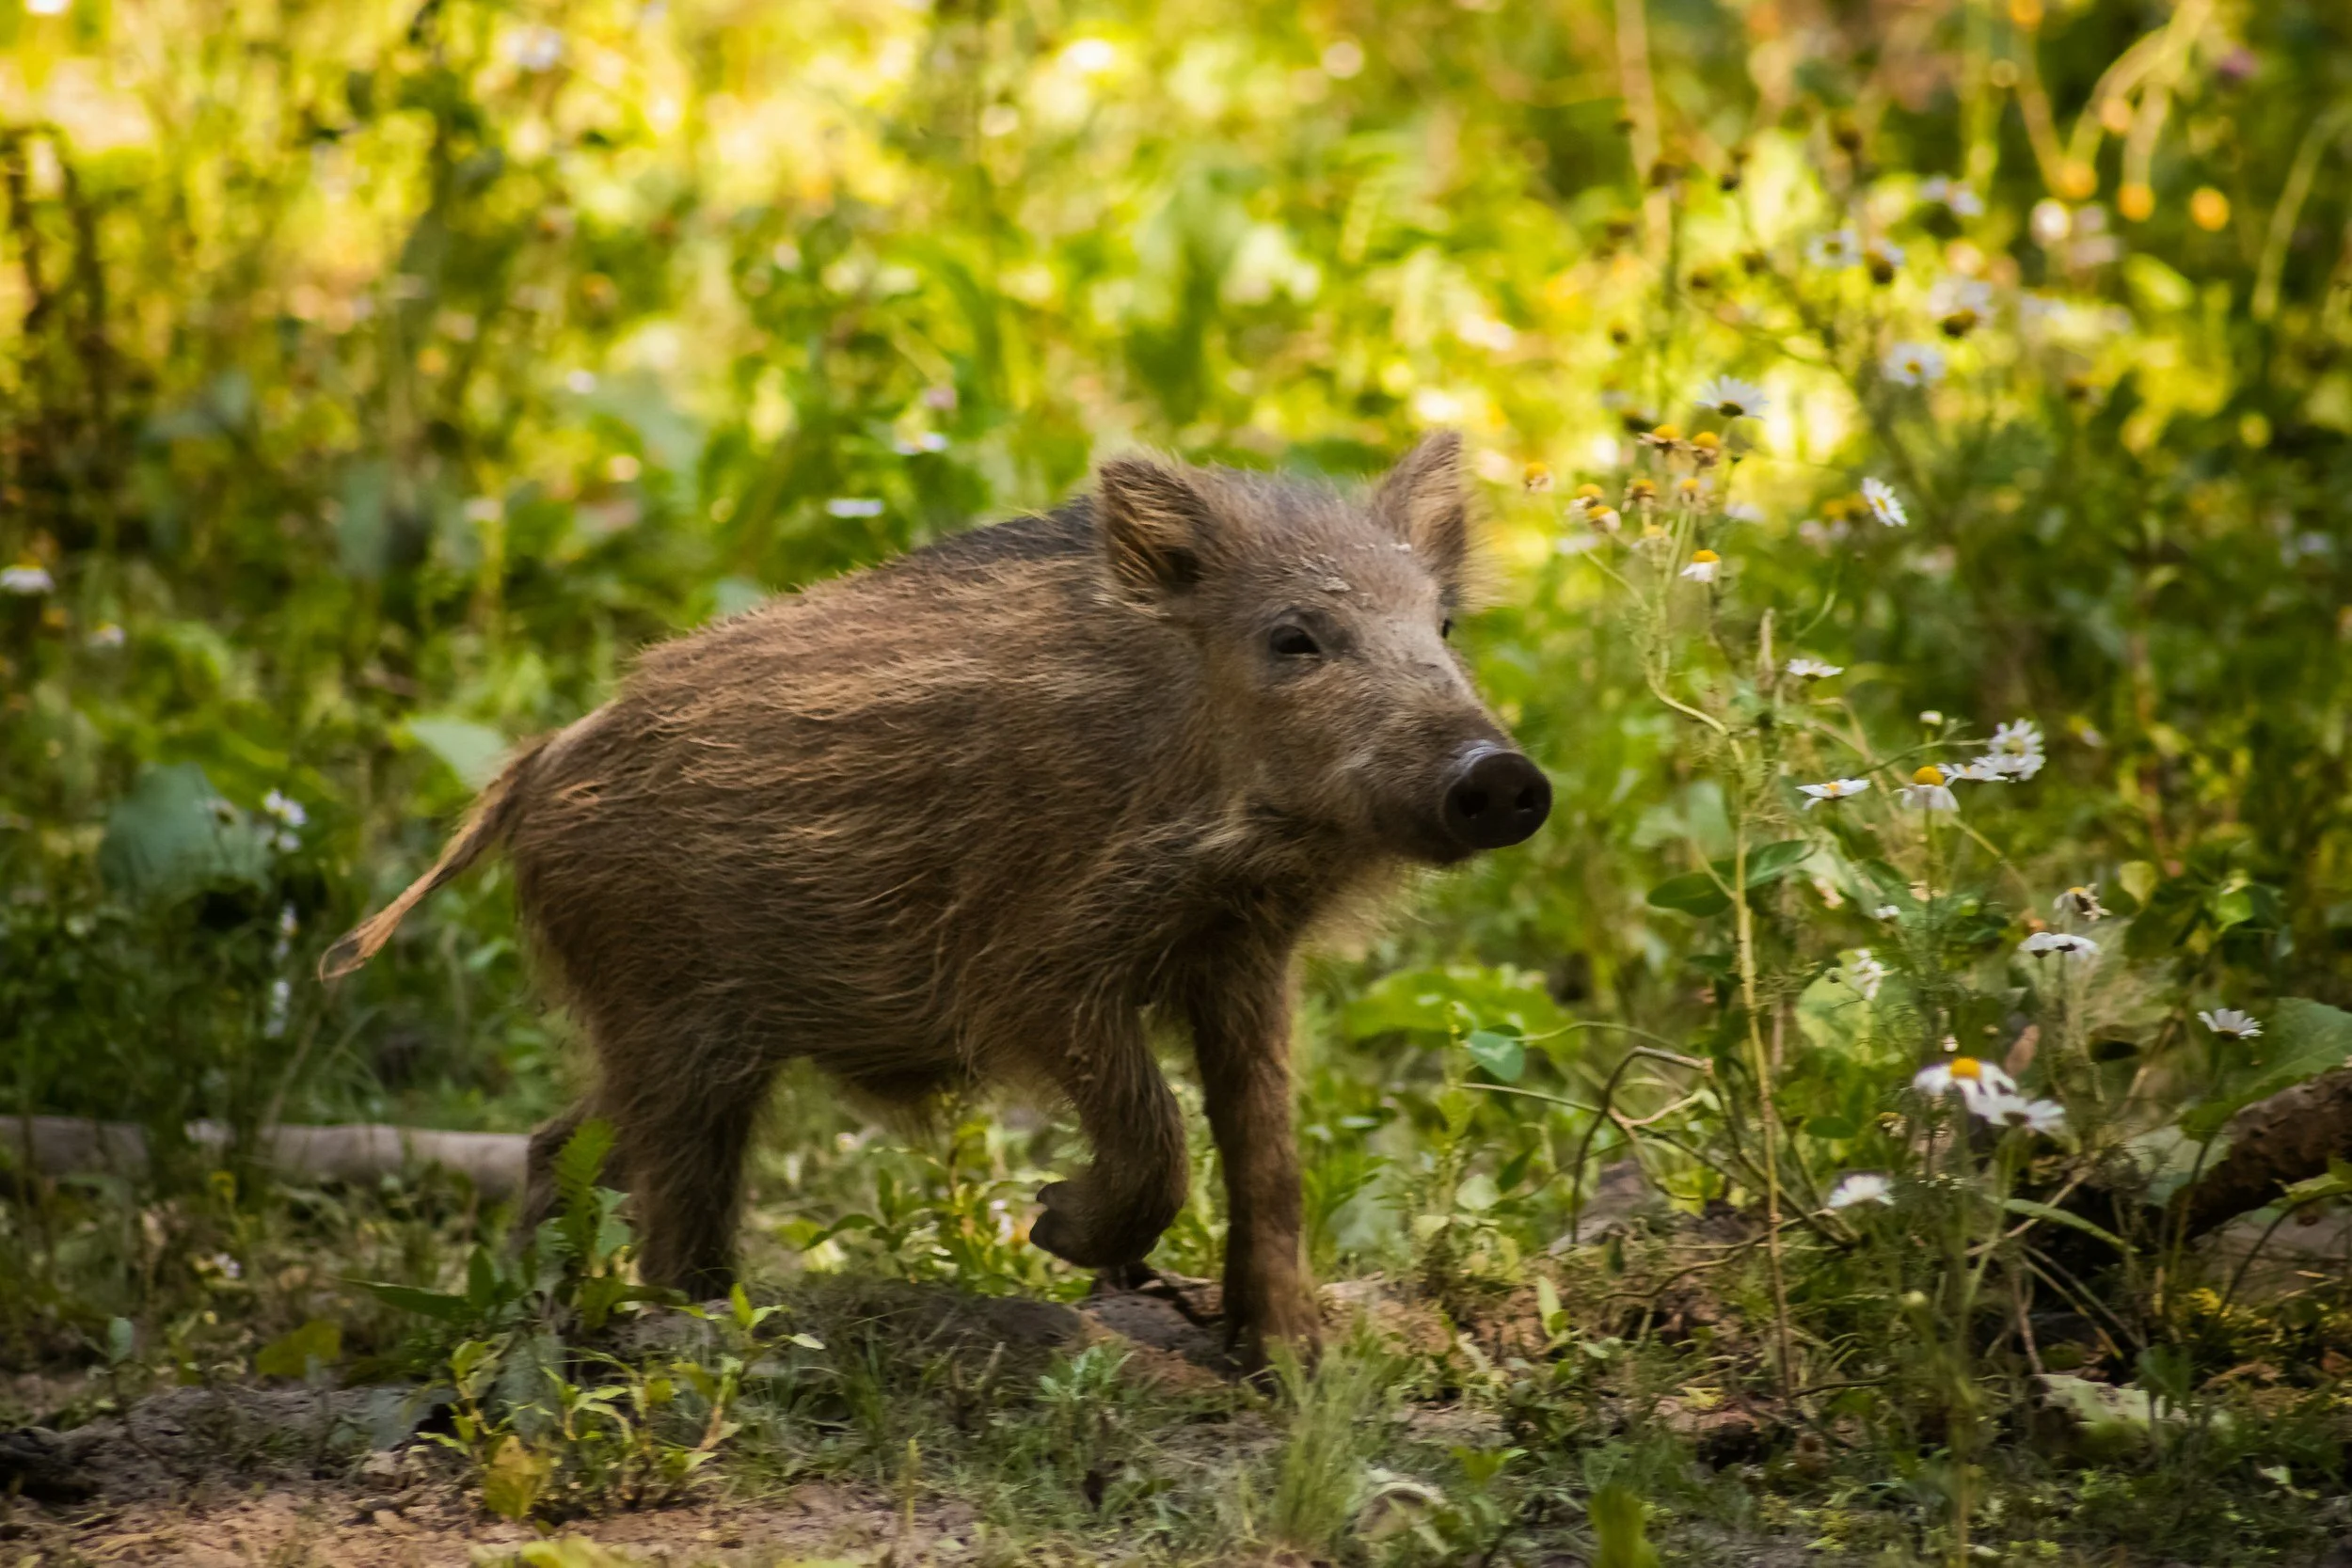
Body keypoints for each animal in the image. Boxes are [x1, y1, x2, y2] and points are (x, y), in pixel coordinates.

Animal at [321, 432, 1549, 1358]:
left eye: (1442, 626)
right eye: (1295, 636)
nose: (1502, 775)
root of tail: (536, 761)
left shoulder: (1242, 957)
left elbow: (1266, 1146)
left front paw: (1294, 1358)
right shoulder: (1034, 971)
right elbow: (1157, 1130)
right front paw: (1058, 1229)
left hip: (693, 1037)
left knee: (564, 1145)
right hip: (666, 1015)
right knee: (632, 1179)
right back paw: (667, 1332)